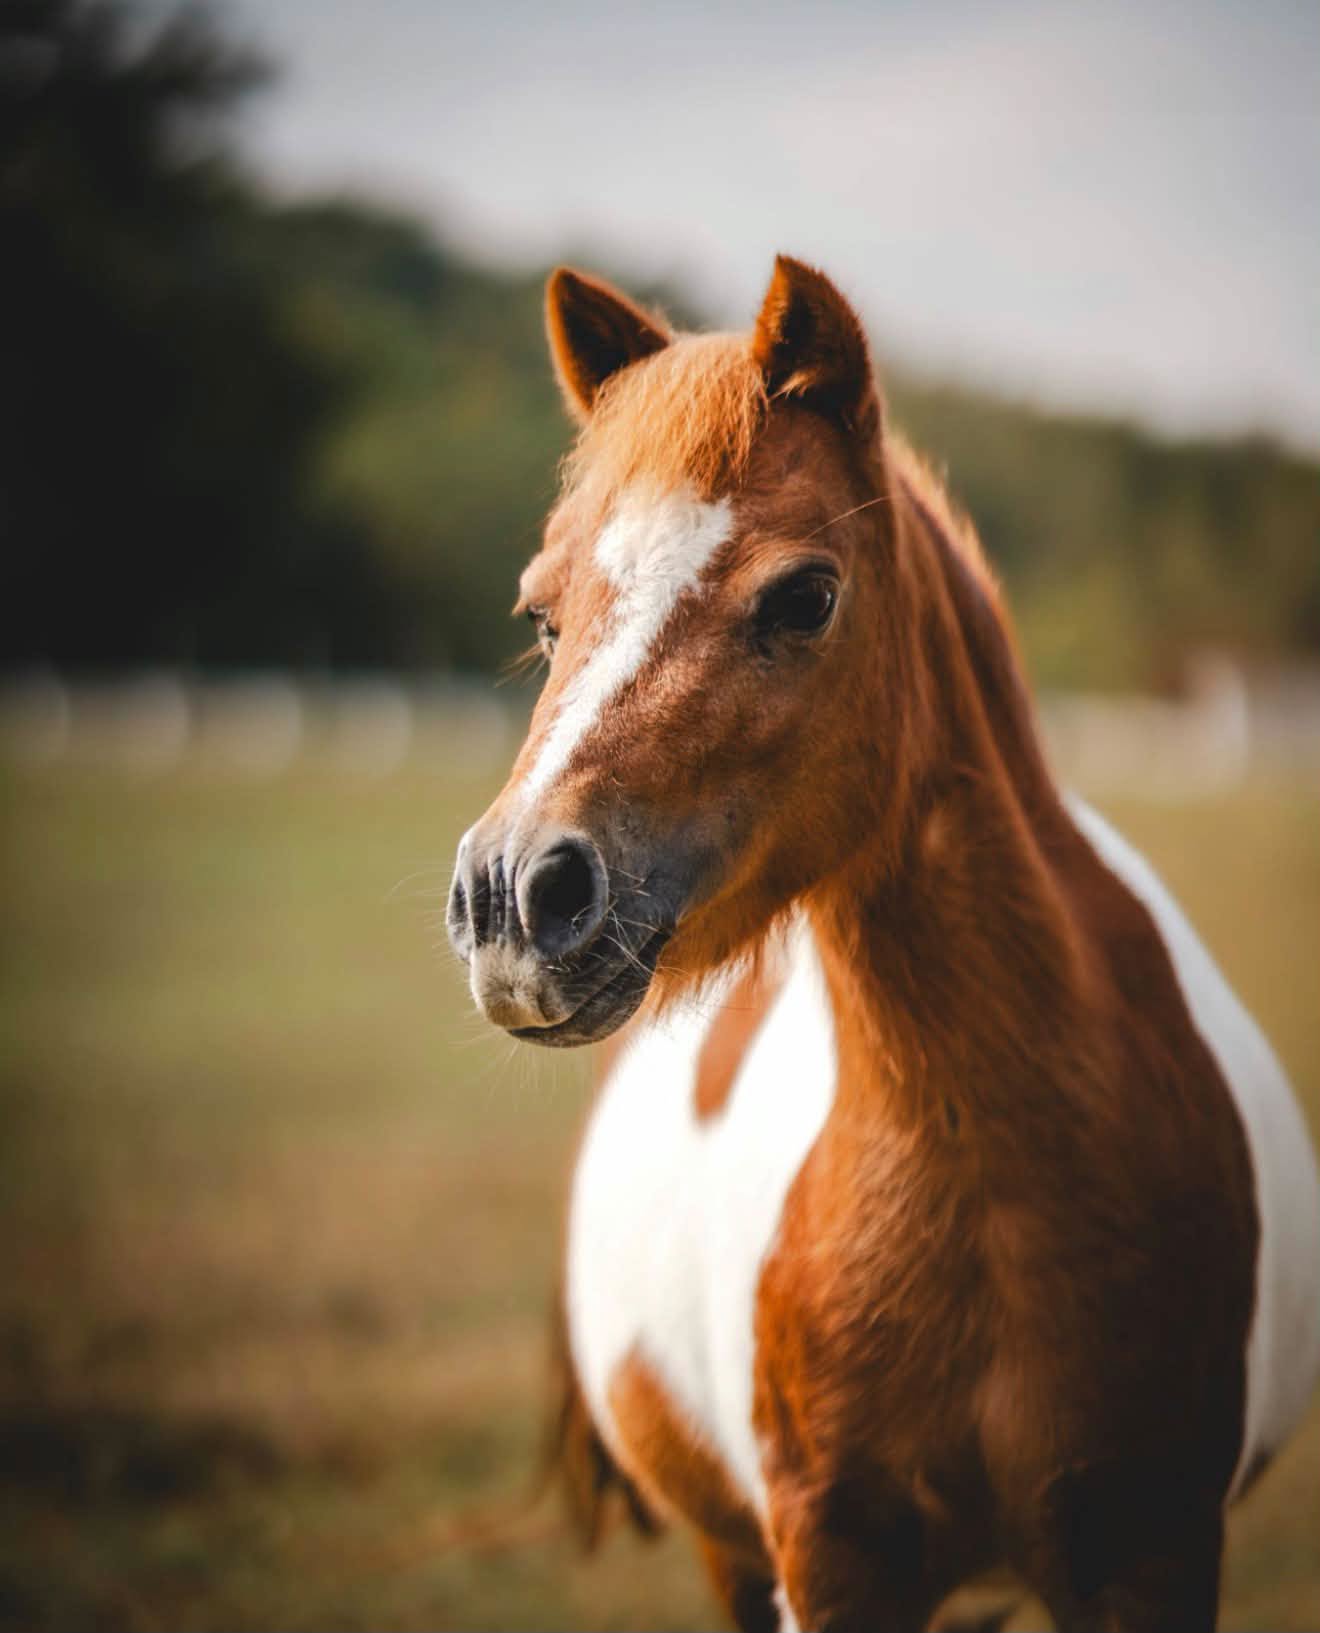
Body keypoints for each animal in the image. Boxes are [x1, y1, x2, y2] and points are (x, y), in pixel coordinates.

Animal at [446, 256, 1320, 1631]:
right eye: (542, 617)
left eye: (805, 595)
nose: (513, 901)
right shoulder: (833, 1557)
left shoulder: (1153, 1548)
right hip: (738, 1557)